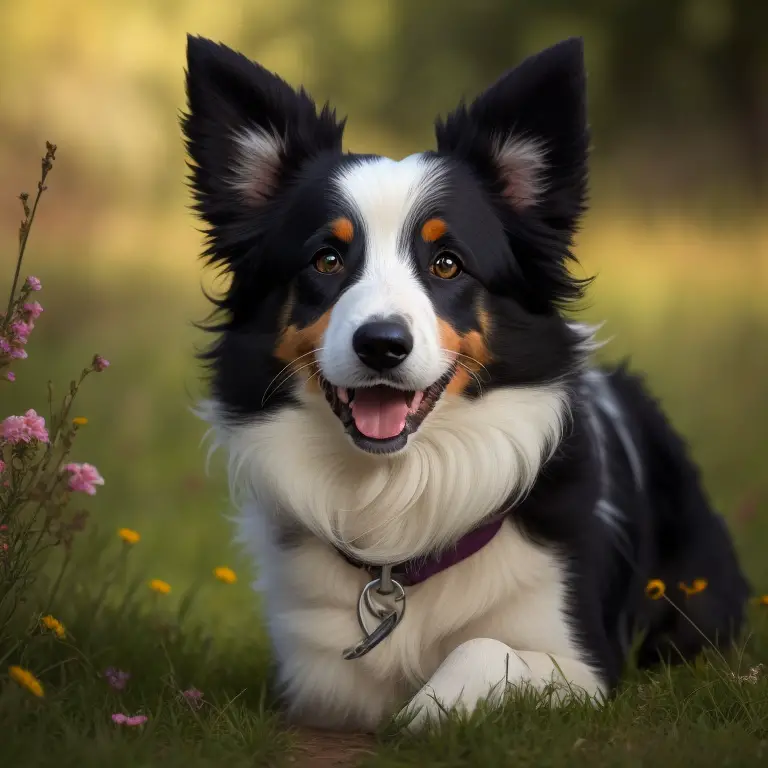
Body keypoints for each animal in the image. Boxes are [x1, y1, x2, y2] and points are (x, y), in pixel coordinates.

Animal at [184, 34, 752, 732]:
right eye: (327, 259)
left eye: (447, 262)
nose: (381, 345)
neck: (397, 495)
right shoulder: (316, 679)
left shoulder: (583, 663)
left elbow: (481, 649)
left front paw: (425, 711)